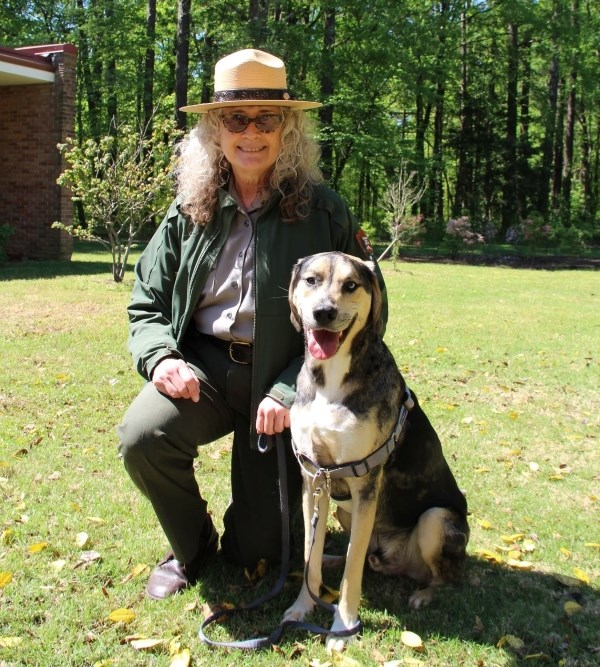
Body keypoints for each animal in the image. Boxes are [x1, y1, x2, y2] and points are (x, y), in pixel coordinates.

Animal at [284, 250, 472, 652]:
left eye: (351, 285)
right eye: (311, 280)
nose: (323, 312)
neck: (331, 379)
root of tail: (396, 560)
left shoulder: (365, 483)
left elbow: (353, 569)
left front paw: (342, 626)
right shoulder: (315, 478)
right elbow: (309, 553)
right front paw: (303, 606)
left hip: (435, 519)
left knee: (447, 577)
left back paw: (423, 594)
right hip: (346, 512)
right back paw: (334, 558)